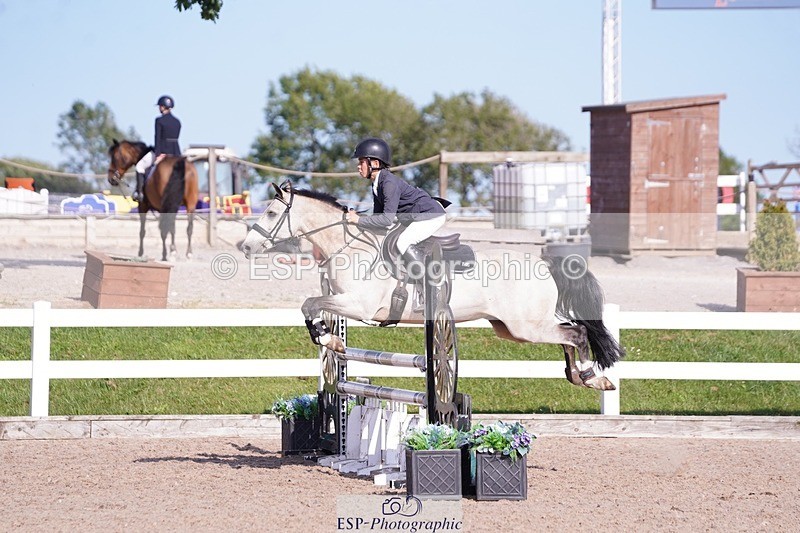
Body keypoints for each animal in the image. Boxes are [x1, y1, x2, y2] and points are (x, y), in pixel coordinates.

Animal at [240, 180, 625, 391]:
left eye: (271, 214)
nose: (245, 246)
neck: (346, 246)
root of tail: (545, 263)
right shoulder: (340, 300)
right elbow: (311, 307)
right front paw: (330, 339)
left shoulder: (358, 305)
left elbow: (310, 304)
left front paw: (330, 340)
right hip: (511, 328)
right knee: (569, 334)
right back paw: (583, 377)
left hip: (525, 326)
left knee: (576, 333)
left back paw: (592, 377)